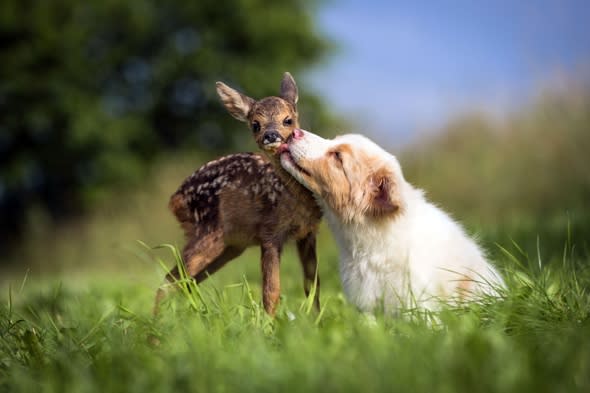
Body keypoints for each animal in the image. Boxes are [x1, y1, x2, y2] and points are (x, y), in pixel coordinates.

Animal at [156, 72, 324, 314]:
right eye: (255, 124)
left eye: (288, 120)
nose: (271, 135)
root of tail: (175, 199)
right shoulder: (270, 232)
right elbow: (271, 292)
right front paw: (268, 323)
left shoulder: (309, 232)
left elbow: (313, 287)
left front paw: (316, 319)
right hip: (209, 232)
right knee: (169, 282)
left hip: (231, 245)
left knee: (185, 282)